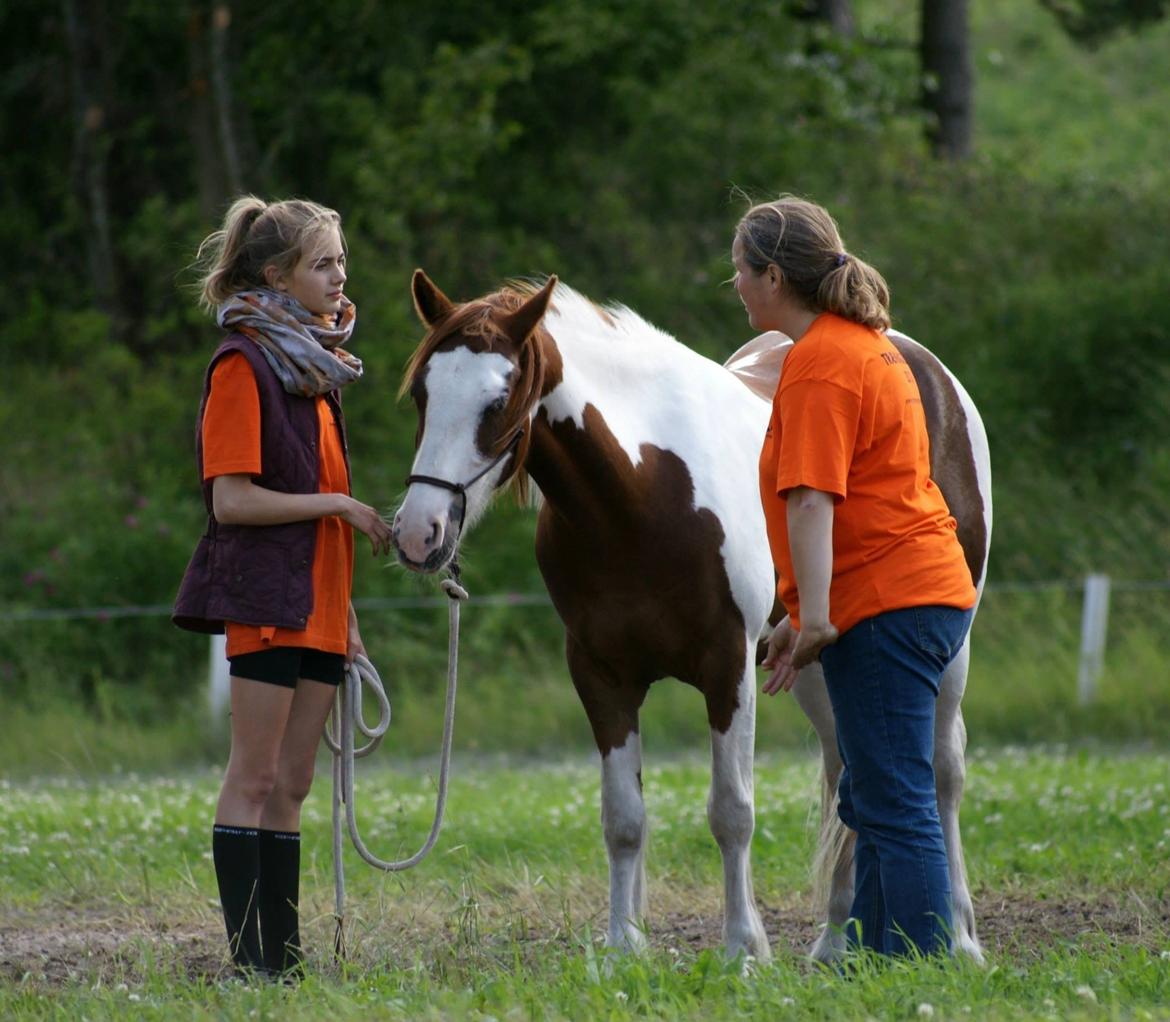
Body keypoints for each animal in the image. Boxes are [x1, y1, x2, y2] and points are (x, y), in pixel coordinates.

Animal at [390, 268, 987, 954]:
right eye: (423, 395)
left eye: (499, 400)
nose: (418, 534)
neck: (642, 492)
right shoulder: (600, 673)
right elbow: (624, 818)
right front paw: (623, 947)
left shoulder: (728, 664)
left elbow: (732, 813)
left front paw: (744, 950)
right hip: (818, 659)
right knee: (848, 768)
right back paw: (837, 941)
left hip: (945, 648)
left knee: (943, 770)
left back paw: (960, 937)